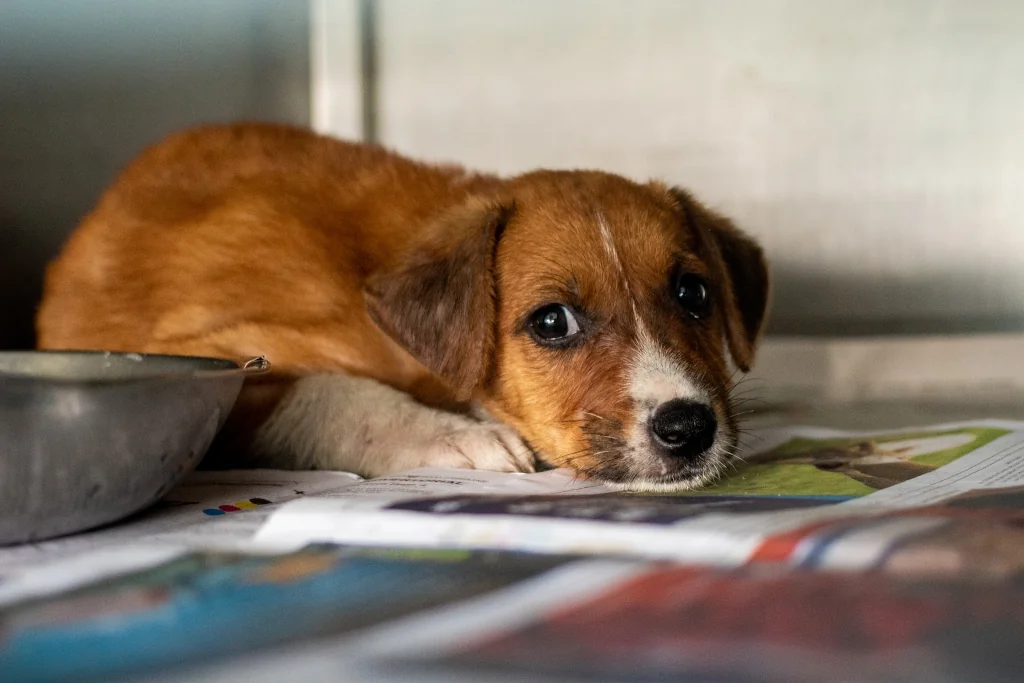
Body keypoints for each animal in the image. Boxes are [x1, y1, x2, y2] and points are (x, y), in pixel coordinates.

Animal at [37, 122, 770, 491]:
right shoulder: (215, 354)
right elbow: (332, 389)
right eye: (552, 322)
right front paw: (454, 435)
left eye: (694, 294)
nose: (689, 428)